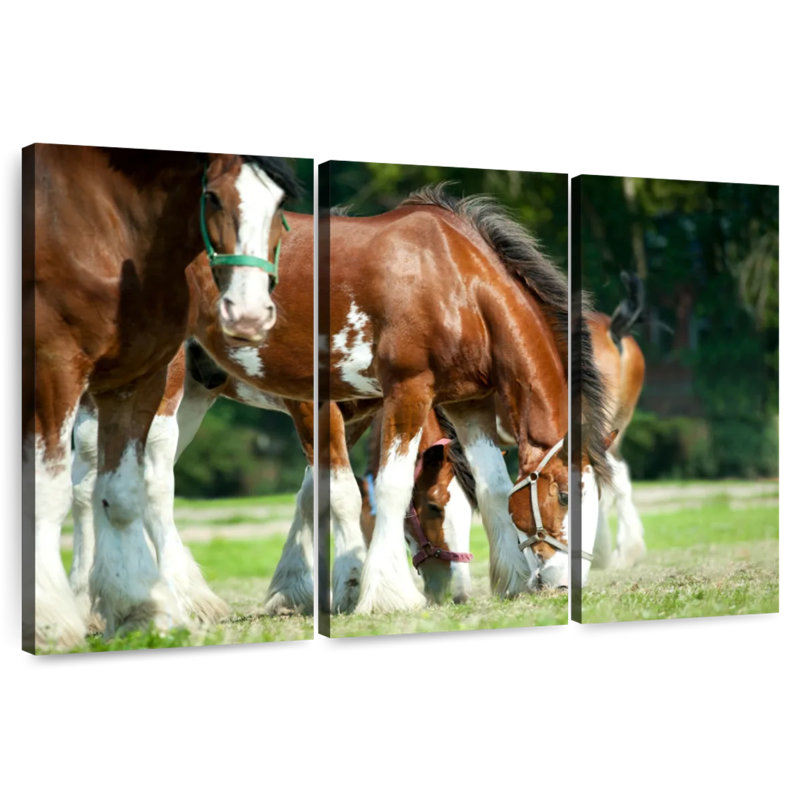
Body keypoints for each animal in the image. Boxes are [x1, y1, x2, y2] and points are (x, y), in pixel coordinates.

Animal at [24, 144, 296, 649]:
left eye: (280, 203)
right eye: (212, 197)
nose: (248, 314)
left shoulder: (132, 378)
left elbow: (121, 488)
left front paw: (139, 608)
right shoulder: (53, 368)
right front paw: (50, 620)